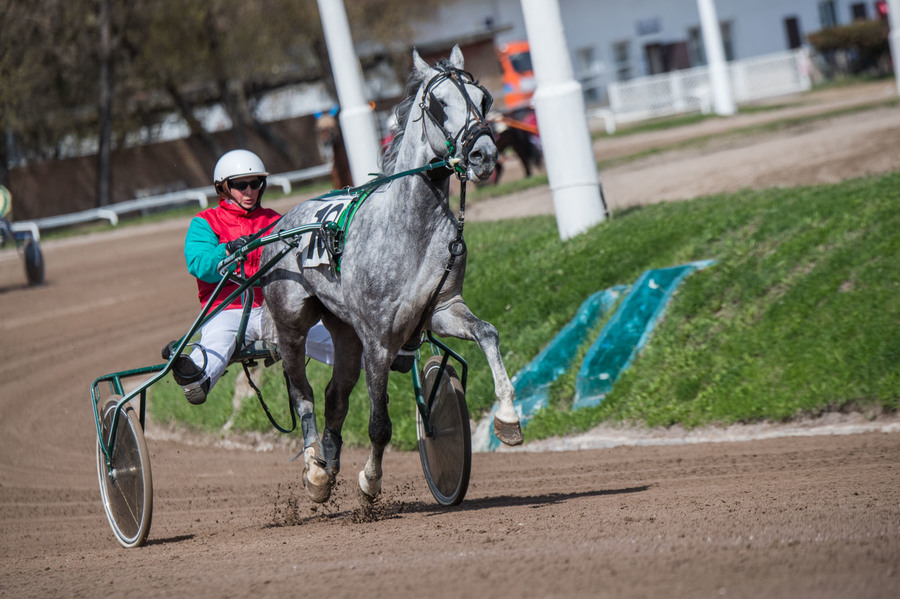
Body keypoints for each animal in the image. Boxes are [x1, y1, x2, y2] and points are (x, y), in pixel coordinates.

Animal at [260, 45, 524, 506]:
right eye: (439, 104)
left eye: (484, 97)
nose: (484, 155)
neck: (409, 229)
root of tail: (285, 223)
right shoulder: (379, 342)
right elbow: (379, 424)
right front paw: (370, 481)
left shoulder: (442, 309)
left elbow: (488, 333)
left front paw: (508, 417)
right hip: (293, 324)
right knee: (303, 395)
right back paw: (315, 471)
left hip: (345, 332)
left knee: (334, 397)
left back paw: (329, 463)